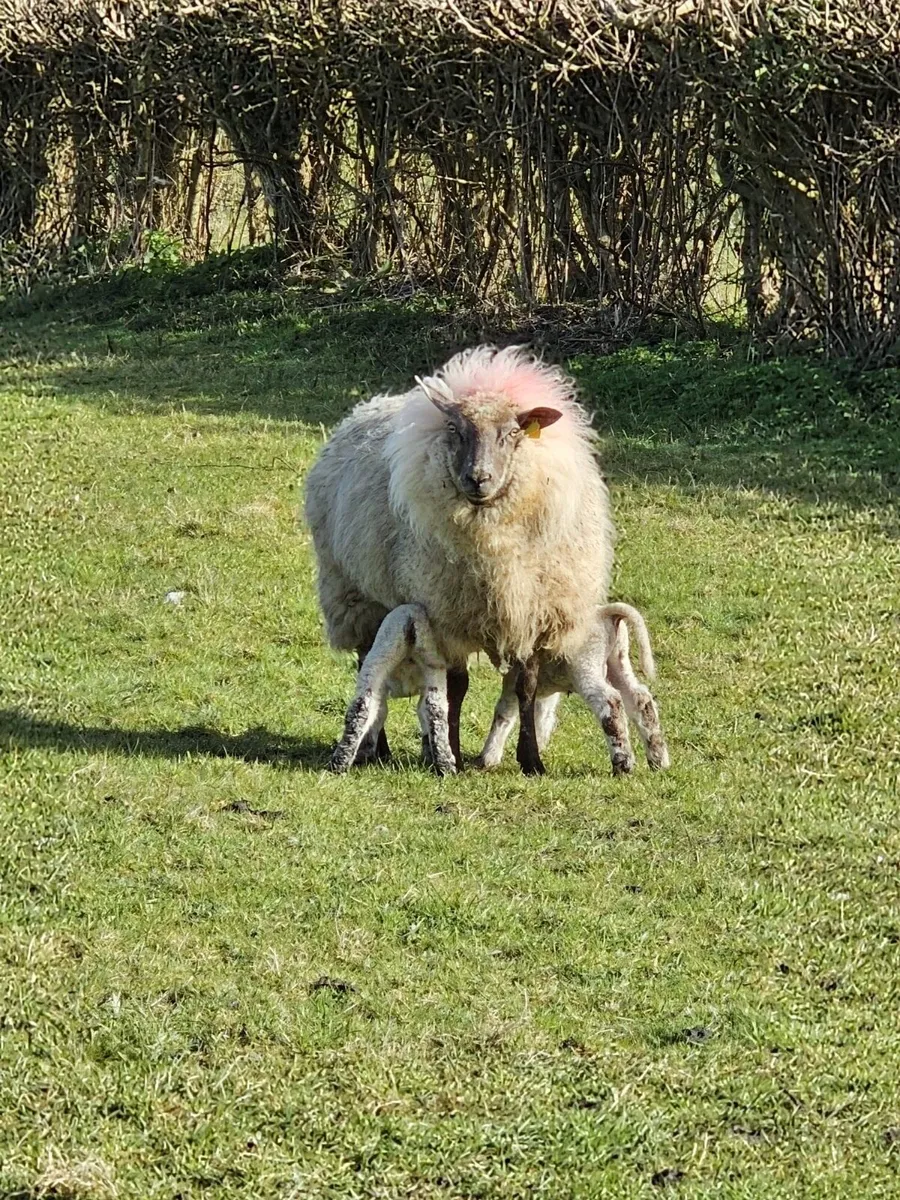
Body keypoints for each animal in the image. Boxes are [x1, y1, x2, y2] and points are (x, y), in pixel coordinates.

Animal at [304, 345, 614, 775]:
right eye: (455, 429)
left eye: (513, 432)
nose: (477, 478)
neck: (494, 546)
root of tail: (366, 406)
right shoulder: (446, 614)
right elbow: (456, 688)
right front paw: (449, 750)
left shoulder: (532, 613)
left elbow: (526, 686)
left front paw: (531, 760)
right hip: (355, 595)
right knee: (368, 663)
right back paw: (377, 748)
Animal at [329, 601, 669, 777]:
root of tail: (608, 614)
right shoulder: (533, 687)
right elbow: (524, 715)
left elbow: (507, 714)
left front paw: (489, 758)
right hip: (616, 660)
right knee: (640, 699)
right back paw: (658, 759)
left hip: (585, 665)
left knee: (610, 703)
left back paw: (623, 762)